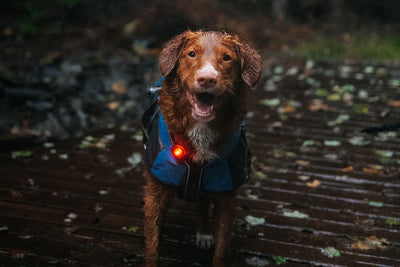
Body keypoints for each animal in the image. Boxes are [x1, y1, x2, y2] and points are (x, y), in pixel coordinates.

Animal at [141, 30, 262, 266]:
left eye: (227, 58)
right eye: (191, 54)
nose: (207, 78)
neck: (200, 129)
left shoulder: (227, 197)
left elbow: (221, 250)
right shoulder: (155, 193)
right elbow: (152, 245)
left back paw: (204, 233)